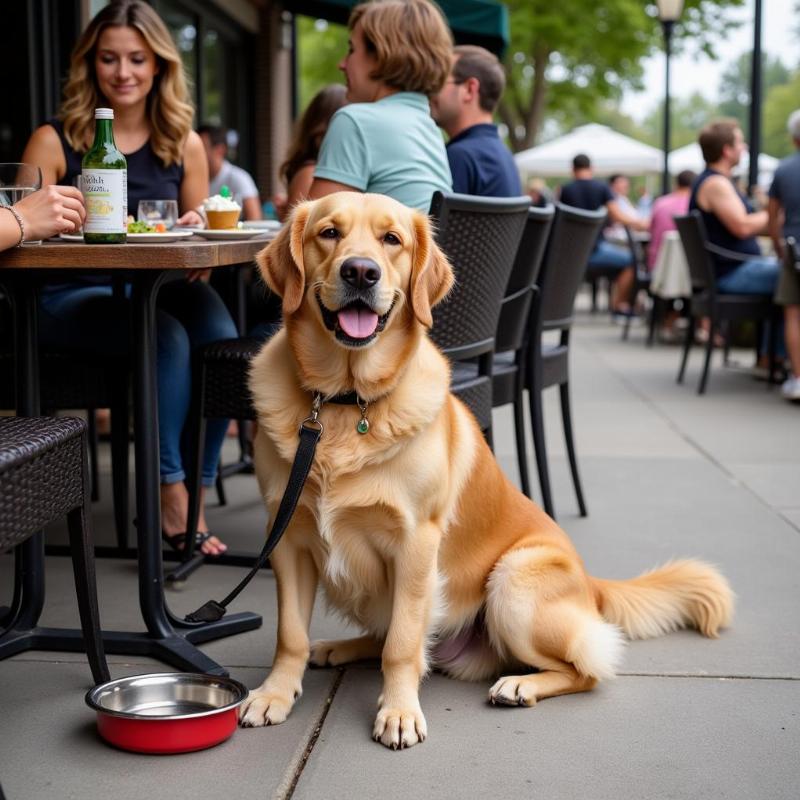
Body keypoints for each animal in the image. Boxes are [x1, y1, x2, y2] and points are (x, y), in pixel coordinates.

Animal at [241, 192, 736, 752]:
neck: (346, 402)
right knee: (384, 636)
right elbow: (291, 635)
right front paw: (275, 694)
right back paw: (339, 647)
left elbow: (403, 643)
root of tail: (590, 583)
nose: (361, 272)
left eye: (392, 240)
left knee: (585, 671)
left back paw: (519, 685)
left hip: (513, 582)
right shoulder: (287, 537)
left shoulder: (416, 542)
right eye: (328, 233)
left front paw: (399, 711)